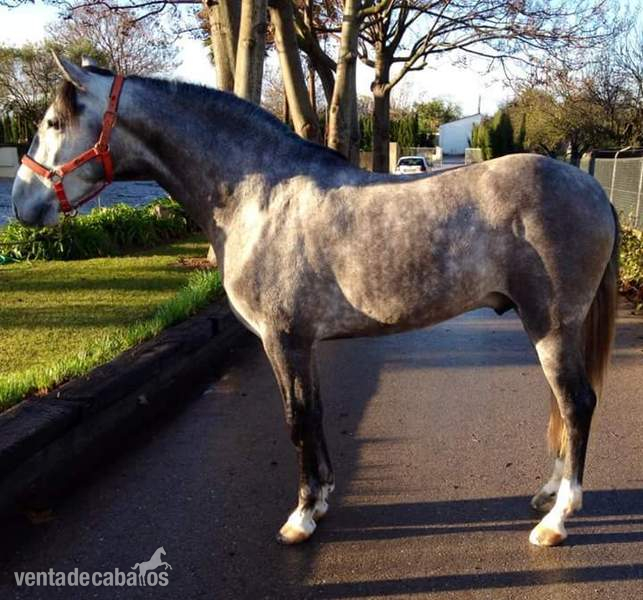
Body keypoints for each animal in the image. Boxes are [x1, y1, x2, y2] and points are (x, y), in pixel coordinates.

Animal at [12, 57, 618, 548]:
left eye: (53, 124)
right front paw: (321, 498)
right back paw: (547, 493)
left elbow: (296, 418)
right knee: (563, 405)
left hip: (551, 326)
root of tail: (592, 188)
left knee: (577, 403)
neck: (257, 197)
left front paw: (300, 518)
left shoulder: (282, 339)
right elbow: (316, 412)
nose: (21, 204)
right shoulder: (304, 342)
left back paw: (556, 521)